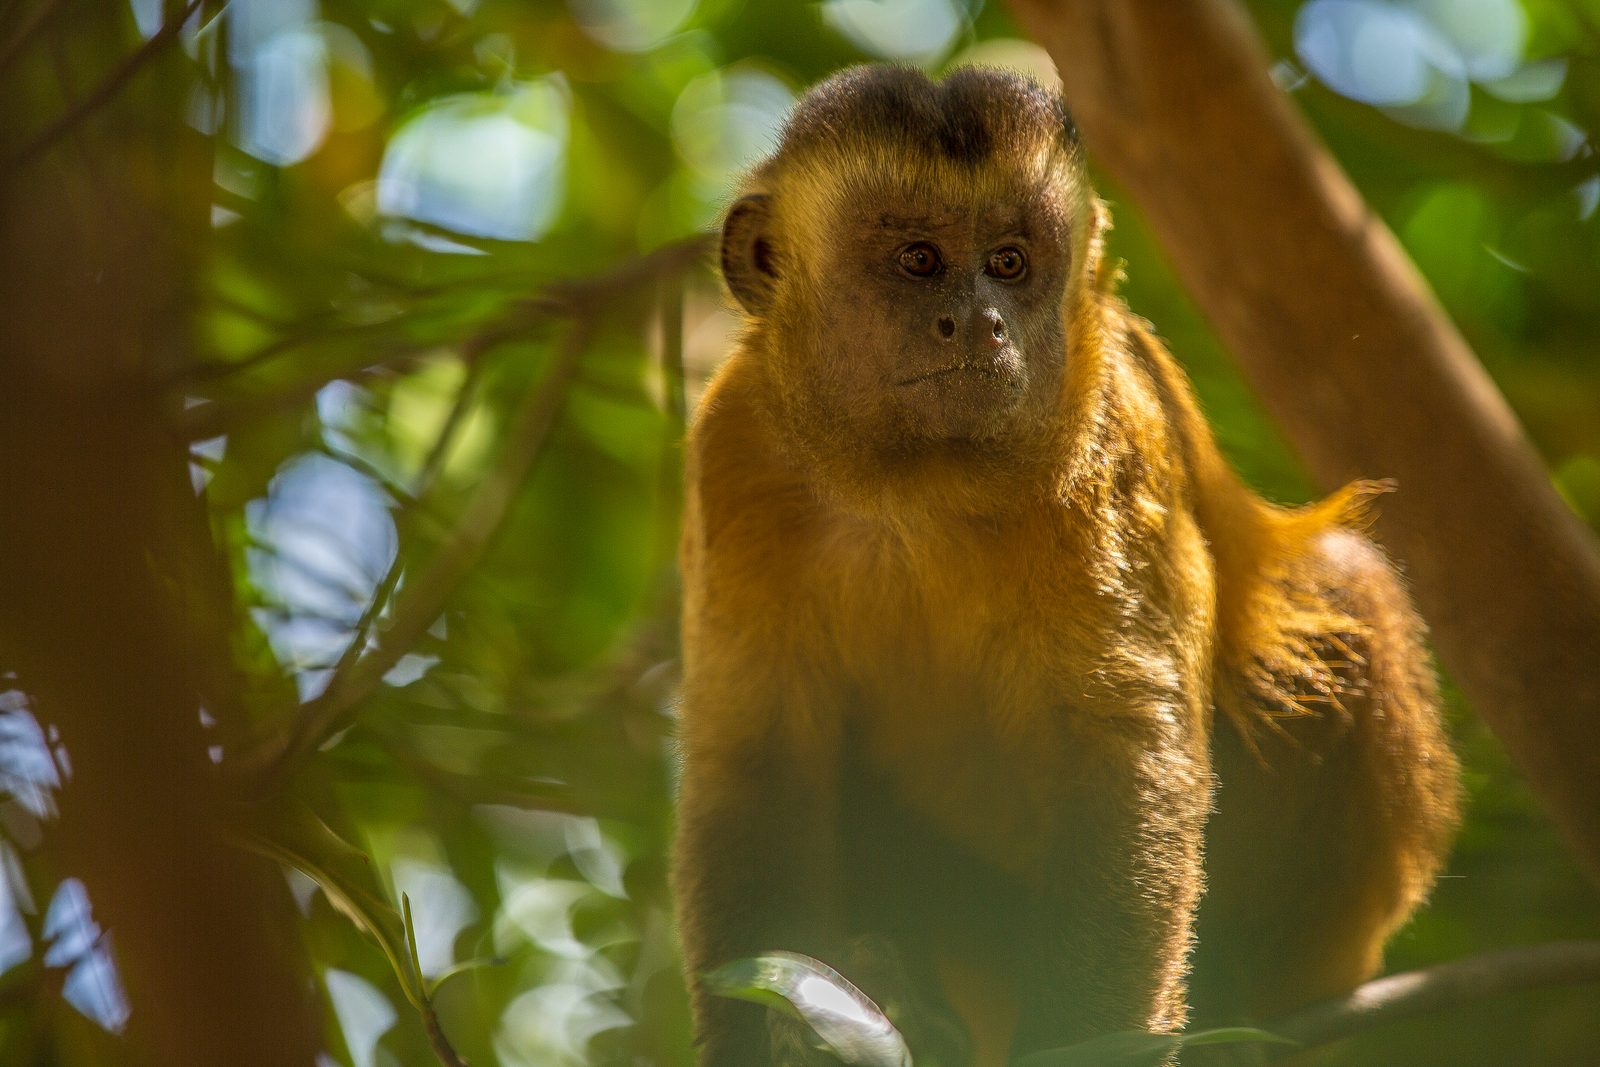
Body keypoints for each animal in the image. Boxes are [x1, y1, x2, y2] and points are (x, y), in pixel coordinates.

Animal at [671, 65, 1460, 1067]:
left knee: (1340, 592)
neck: (907, 490)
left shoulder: (1110, 426)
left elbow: (1129, 761)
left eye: (1010, 262)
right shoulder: (736, 445)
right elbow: (756, 768)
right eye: (919, 259)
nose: (980, 321)